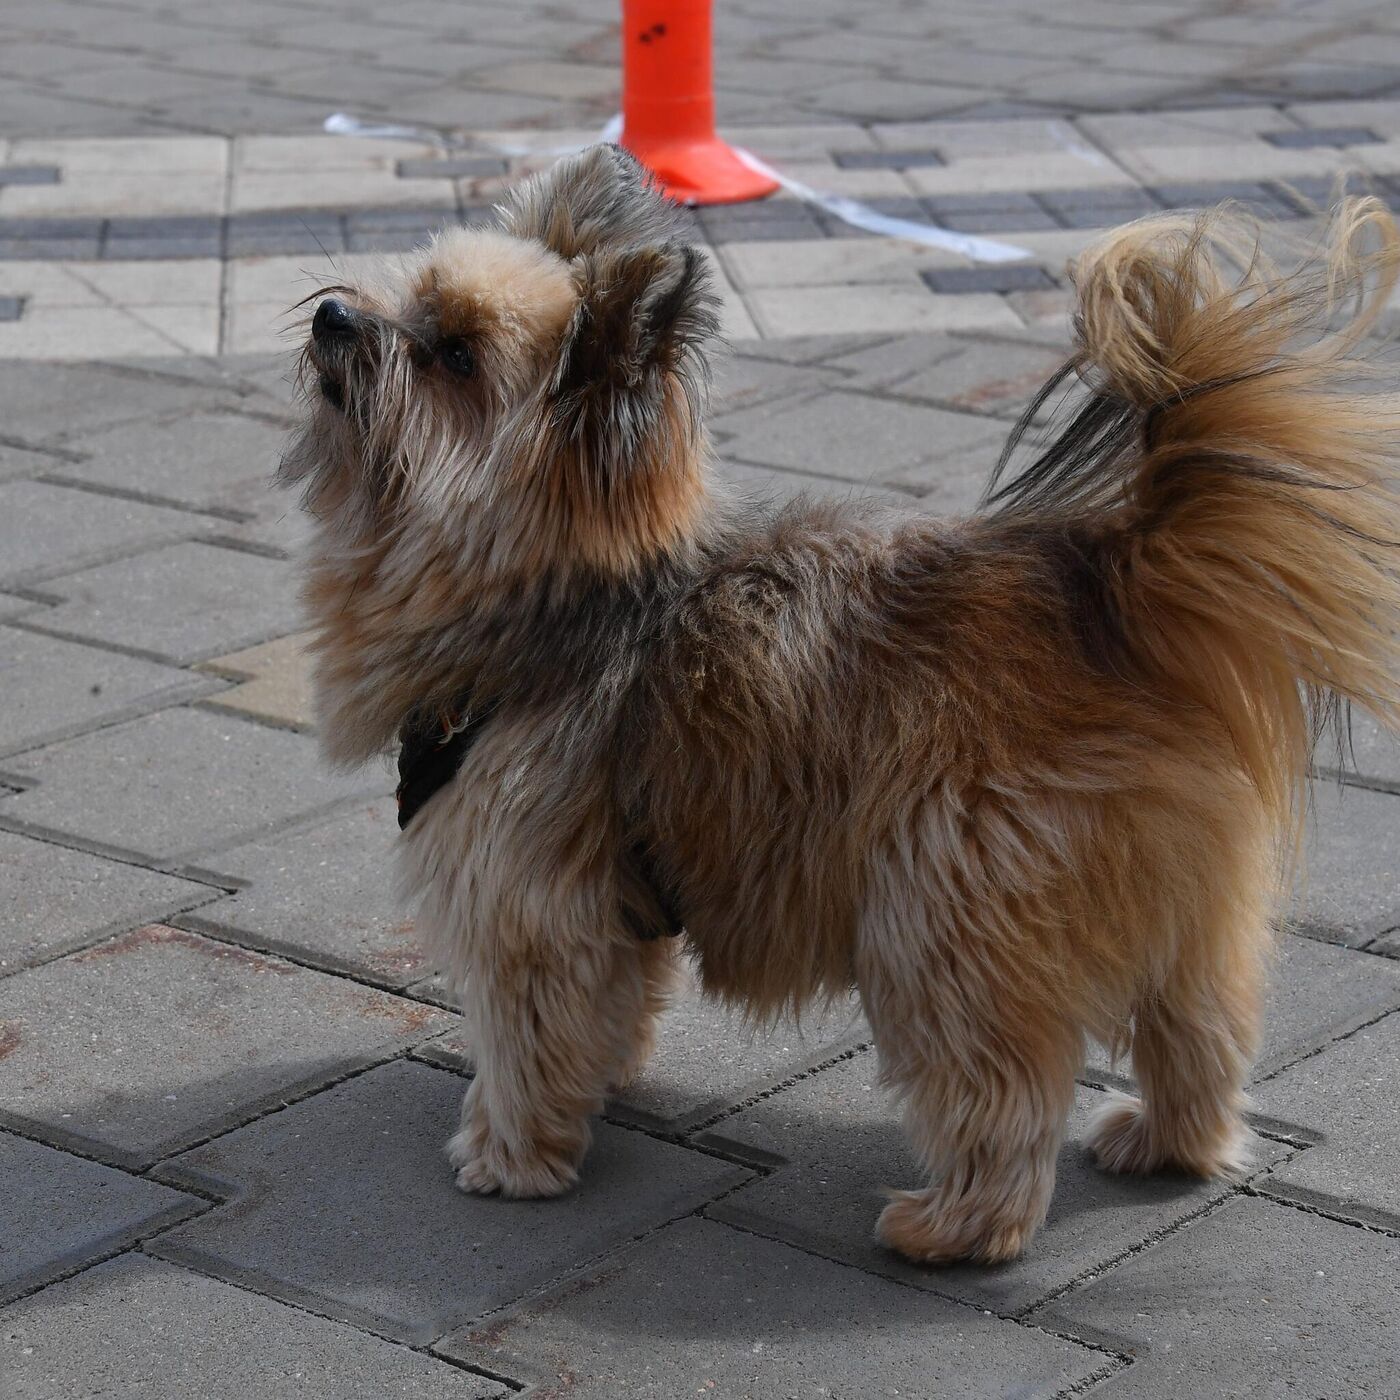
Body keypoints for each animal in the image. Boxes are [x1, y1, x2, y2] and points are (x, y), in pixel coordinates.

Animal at [278, 147, 1400, 1265]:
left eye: (455, 356)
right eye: (409, 296)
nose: (333, 312)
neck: (559, 599)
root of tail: (1105, 589)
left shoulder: (527, 902)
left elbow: (526, 1034)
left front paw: (509, 1152)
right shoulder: (609, 901)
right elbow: (610, 1005)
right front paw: (598, 1086)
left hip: (942, 904)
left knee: (1002, 1088)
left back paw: (954, 1225)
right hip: (1182, 911)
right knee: (1198, 1029)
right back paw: (1169, 1142)